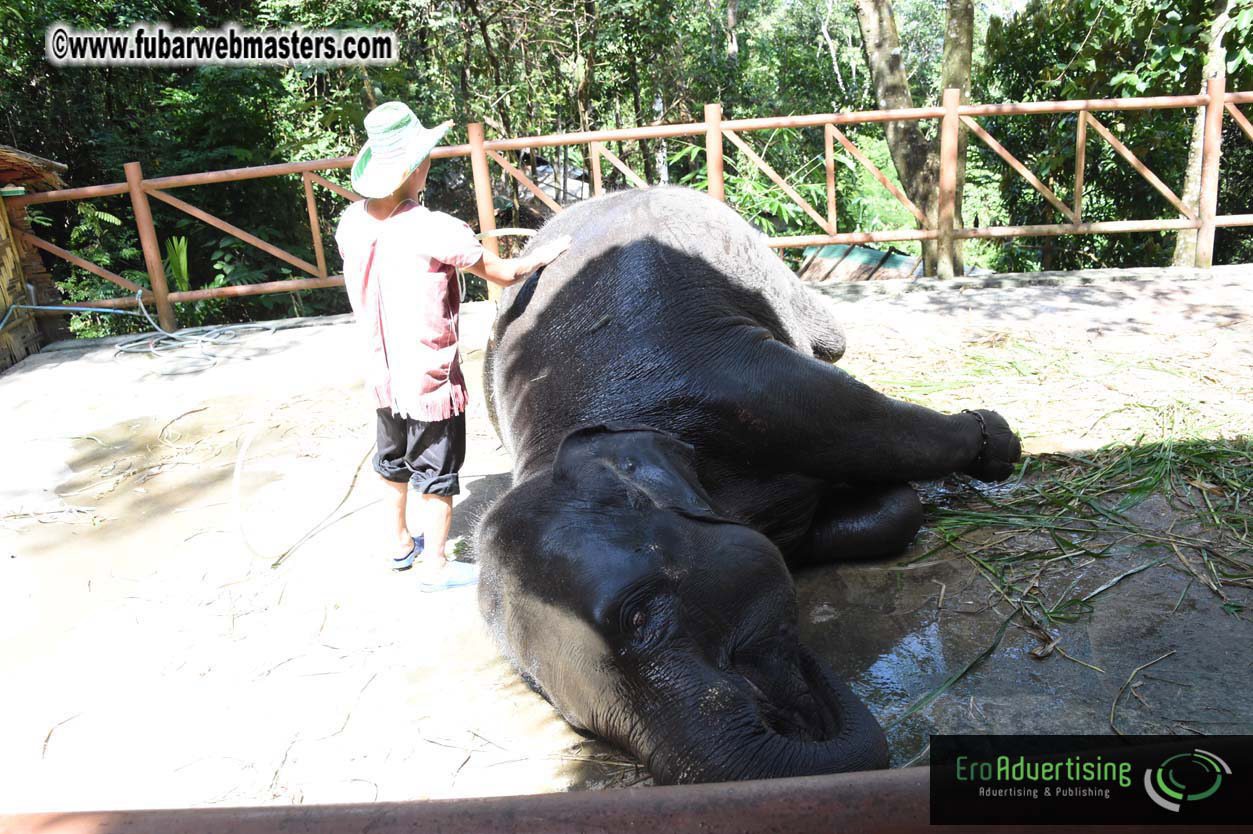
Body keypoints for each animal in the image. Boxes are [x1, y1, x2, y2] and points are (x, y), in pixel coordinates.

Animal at [476, 186, 1021, 785]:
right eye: (572, 719)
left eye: (637, 616)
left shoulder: (743, 383)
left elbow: (866, 419)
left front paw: (998, 443)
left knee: (831, 340)